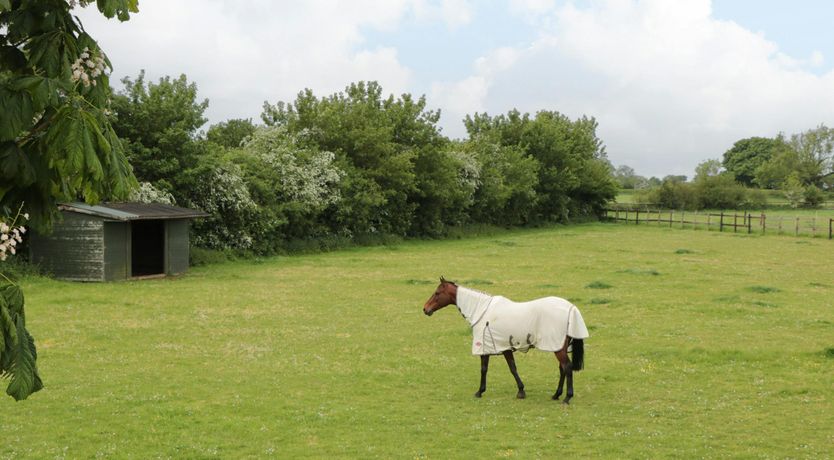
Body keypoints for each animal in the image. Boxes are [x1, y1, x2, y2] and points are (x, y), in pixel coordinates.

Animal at [422, 277, 589, 404]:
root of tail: (571, 308)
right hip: (559, 347)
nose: (425, 309)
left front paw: (480, 391)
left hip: (558, 348)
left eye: (437, 293)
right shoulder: (505, 348)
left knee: (567, 367)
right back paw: (556, 395)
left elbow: (484, 369)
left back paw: (567, 397)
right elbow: (513, 368)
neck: (482, 310)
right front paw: (521, 391)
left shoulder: (485, 348)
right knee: (562, 368)